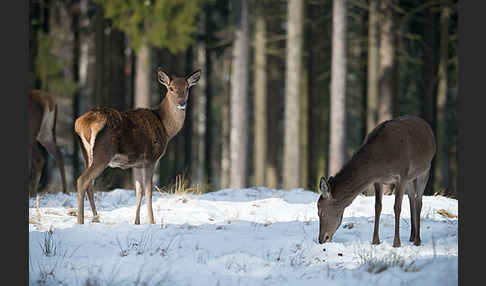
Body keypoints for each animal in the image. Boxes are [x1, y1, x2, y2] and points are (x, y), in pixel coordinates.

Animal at [72, 66, 201, 223]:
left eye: (187, 88)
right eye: (171, 88)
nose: (182, 103)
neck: (166, 128)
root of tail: (83, 124)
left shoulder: (137, 163)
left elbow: (139, 191)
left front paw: (137, 222)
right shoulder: (151, 159)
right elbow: (149, 191)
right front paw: (152, 221)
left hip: (86, 154)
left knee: (89, 184)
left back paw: (95, 218)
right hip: (103, 153)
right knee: (82, 180)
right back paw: (80, 221)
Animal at [316, 115, 436, 247]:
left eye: (321, 212)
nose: (321, 239)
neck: (380, 163)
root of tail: (428, 127)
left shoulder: (402, 175)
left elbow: (397, 207)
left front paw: (396, 243)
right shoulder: (378, 180)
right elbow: (377, 207)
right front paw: (375, 241)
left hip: (426, 169)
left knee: (419, 201)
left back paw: (417, 240)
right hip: (411, 177)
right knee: (411, 198)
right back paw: (412, 236)